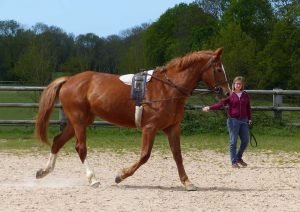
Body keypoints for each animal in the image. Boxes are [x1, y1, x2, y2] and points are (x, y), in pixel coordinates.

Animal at [36, 47, 231, 190]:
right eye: (218, 69)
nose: (227, 93)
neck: (167, 89)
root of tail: (69, 80)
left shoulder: (172, 128)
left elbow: (177, 155)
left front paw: (187, 182)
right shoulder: (150, 128)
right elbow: (145, 155)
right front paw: (120, 176)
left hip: (79, 121)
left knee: (57, 141)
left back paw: (44, 171)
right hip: (79, 121)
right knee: (80, 148)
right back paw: (93, 179)